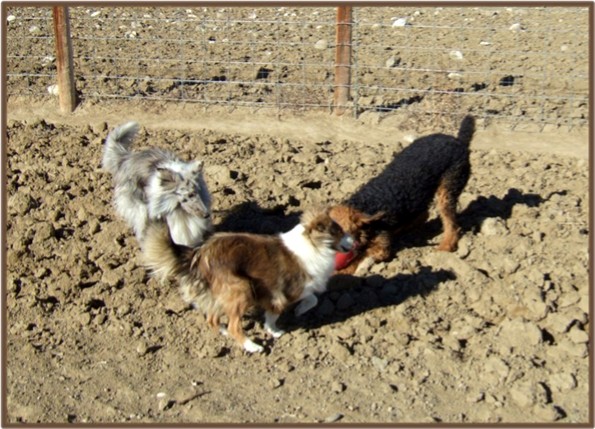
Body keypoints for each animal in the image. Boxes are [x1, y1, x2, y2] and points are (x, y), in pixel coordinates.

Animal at [141, 207, 352, 352]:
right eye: (339, 232)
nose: (355, 241)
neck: (313, 244)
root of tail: (198, 254)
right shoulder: (281, 292)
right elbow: (277, 313)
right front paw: (274, 331)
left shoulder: (297, 289)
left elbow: (311, 299)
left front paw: (299, 311)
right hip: (241, 288)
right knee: (234, 326)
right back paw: (251, 346)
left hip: (222, 294)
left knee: (212, 319)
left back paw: (224, 331)